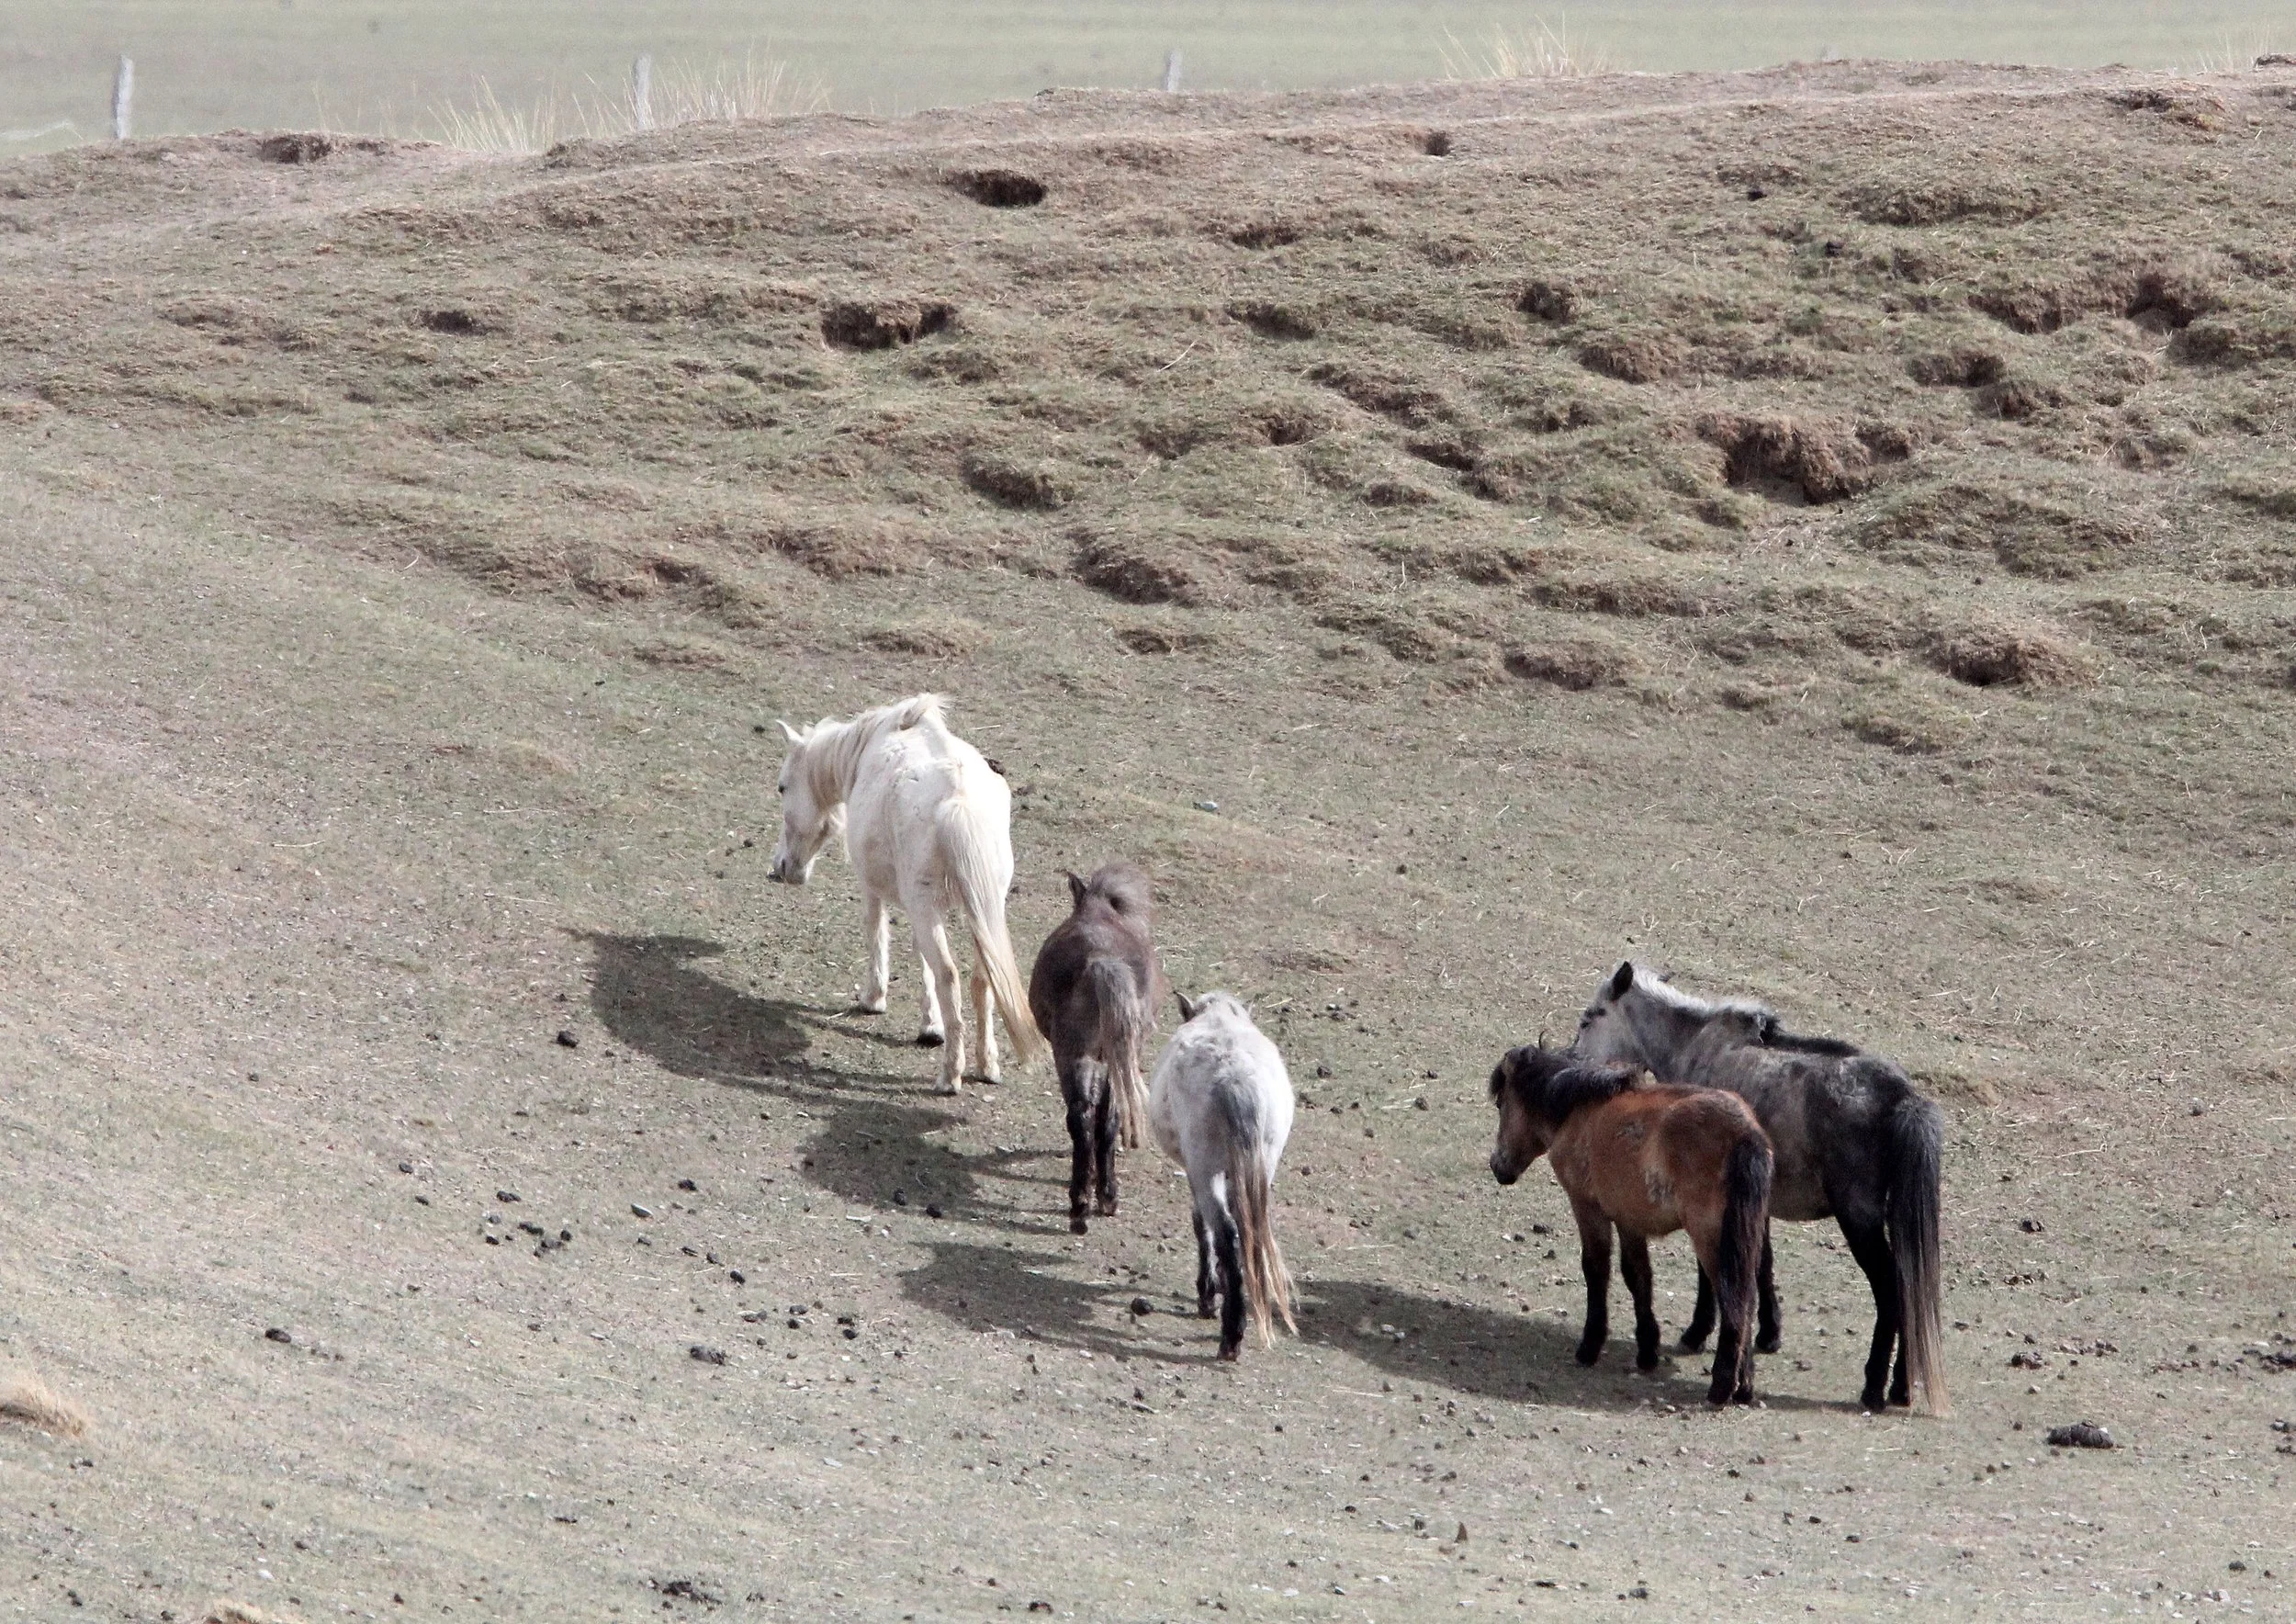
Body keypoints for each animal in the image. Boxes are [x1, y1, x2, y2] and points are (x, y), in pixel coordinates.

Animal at [768, 693, 1042, 1093]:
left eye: (782, 787)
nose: (782, 868)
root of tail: (958, 802)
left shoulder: (877, 889)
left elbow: (877, 931)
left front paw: (875, 999)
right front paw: (931, 1025)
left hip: (929, 905)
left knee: (949, 976)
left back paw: (950, 1075)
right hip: (983, 910)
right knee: (982, 979)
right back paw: (986, 1065)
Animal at [1028, 863, 1167, 1234]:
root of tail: (1100, 961)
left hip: (1076, 1057)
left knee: (1084, 1117)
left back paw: (1085, 1202)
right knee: (1100, 1118)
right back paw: (1099, 1198)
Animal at [1147, 992, 1296, 1359]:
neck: (1219, 1018)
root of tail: (1234, 1078)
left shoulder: (1196, 1170)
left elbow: (1201, 1224)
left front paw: (1208, 1292)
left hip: (1205, 1168)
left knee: (1226, 1230)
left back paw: (1230, 1332)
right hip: (1260, 1164)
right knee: (1244, 1229)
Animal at [1488, 1042, 1773, 1405]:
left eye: (1501, 1103)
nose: (1497, 1166)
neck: (1580, 1109)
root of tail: (1745, 1134)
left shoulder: (1588, 1208)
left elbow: (1596, 1269)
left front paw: (1590, 1346)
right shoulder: (1629, 1220)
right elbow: (1638, 1277)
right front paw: (1647, 1350)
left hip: (1713, 1240)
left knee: (1734, 1297)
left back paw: (1722, 1386)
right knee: (1747, 1299)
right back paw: (1744, 1386)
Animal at [1573, 962, 1950, 1416]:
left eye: (1590, 1017)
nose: (1573, 1062)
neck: (1695, 1045)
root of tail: (1903, 1098)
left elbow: (1713, 1272)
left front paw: (1697, 1332)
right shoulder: (1755, 1203)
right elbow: (1761, 1263)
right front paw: (1769, 1334)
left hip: (1859, 1220)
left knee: (1891, 1292)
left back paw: (1875, 1387)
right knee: (1909, 1289)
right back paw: (1901, 1387)